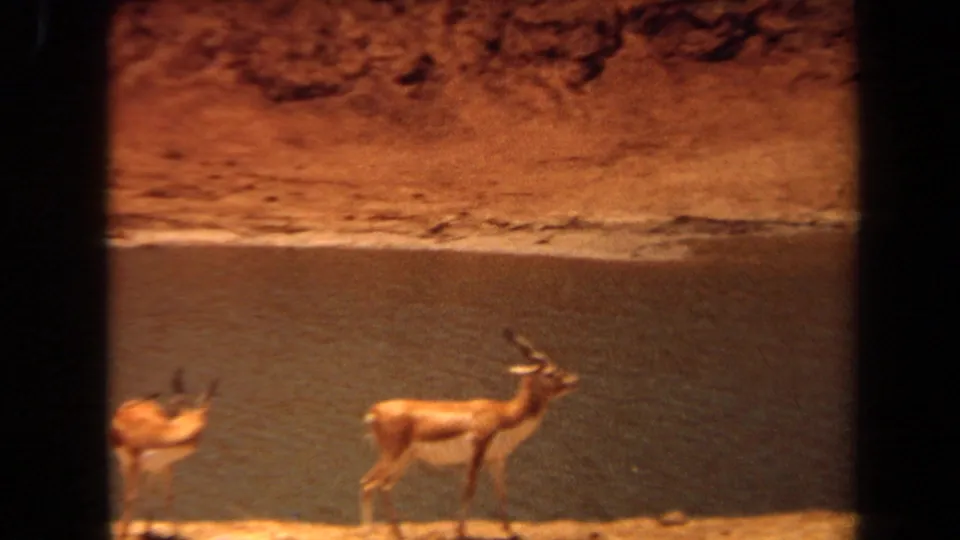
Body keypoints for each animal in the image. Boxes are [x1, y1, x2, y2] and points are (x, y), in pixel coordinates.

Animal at [110, 369, 219, 539]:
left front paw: (176, 534)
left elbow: (169, 497)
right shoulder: (135, 463)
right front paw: (122, 534)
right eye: (198, 431)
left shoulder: (166, 465)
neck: (158, 435)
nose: (194, 445)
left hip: (152, 469)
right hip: (126, 465)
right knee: (130, 494)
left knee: (149, 491)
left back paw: (147, 531)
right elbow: (131, 497)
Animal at [359, 328, 579, 540]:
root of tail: (374, 412)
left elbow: (502, 492)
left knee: (383, 485)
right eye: (550, 373)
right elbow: (469, 490)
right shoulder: (477, 452)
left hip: (405, 459)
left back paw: (397, 533)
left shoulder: (497, 459)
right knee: (368, 483)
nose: (574, 380)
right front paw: (460, 532)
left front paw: (511, 532)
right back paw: (369, 532)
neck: (504, 414)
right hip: (393, 456)